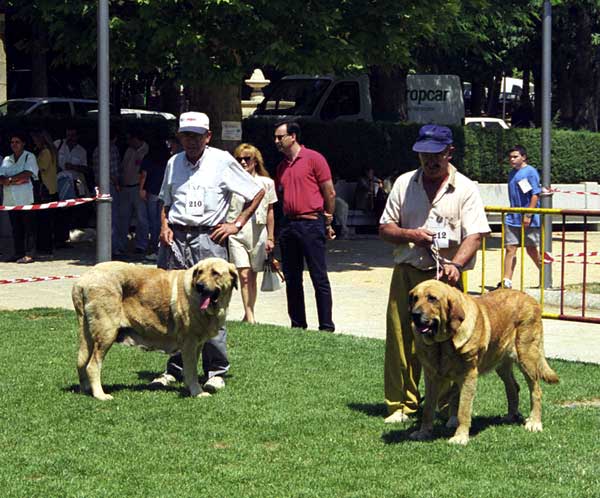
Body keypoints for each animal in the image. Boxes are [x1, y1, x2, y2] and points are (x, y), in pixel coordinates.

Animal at [72, 256, 237, 400]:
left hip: (87, 335)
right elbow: (192, 370)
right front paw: (198, 392)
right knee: (92, 366)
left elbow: (191, 369)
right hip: (107, 333)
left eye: (215, 273)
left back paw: (86, 390)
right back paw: (100, 395)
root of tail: (83, 279)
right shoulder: (189, 343)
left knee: (81, 362)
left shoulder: (197, 344)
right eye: (200, 272)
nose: (199, 286)